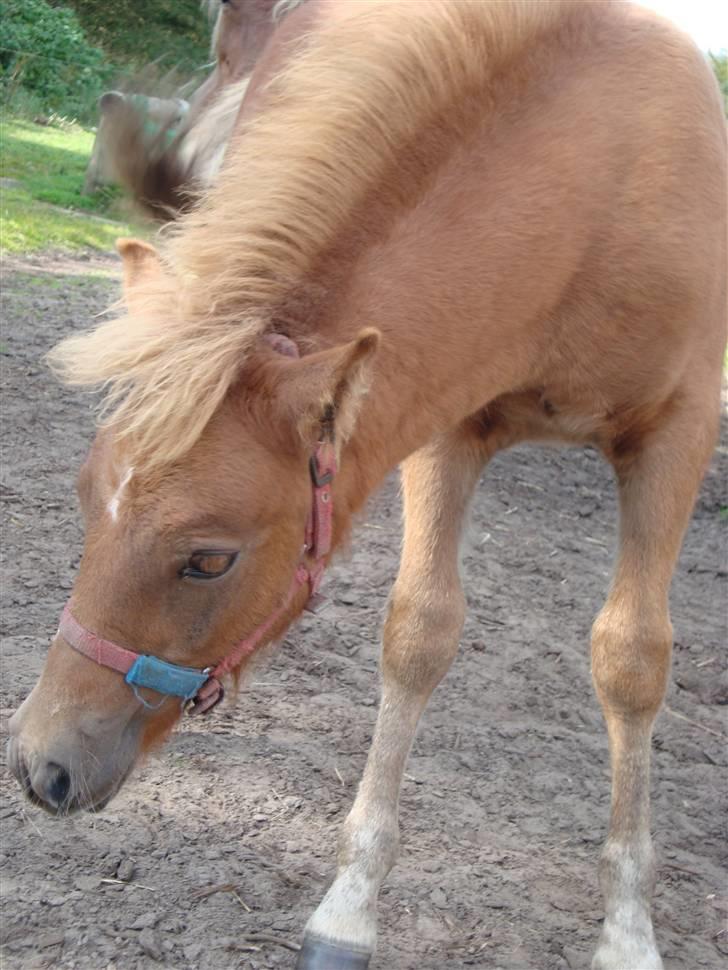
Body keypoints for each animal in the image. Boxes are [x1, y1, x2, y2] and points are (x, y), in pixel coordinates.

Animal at [7, 1, 728, 968]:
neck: (604, 193)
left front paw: (628, 931)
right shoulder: (445, 422)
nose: (39, 766)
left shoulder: (677, 435)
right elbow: (419, 632)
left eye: (209, 560)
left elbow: (633, 658)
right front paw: (347, 909)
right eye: (85, 502)